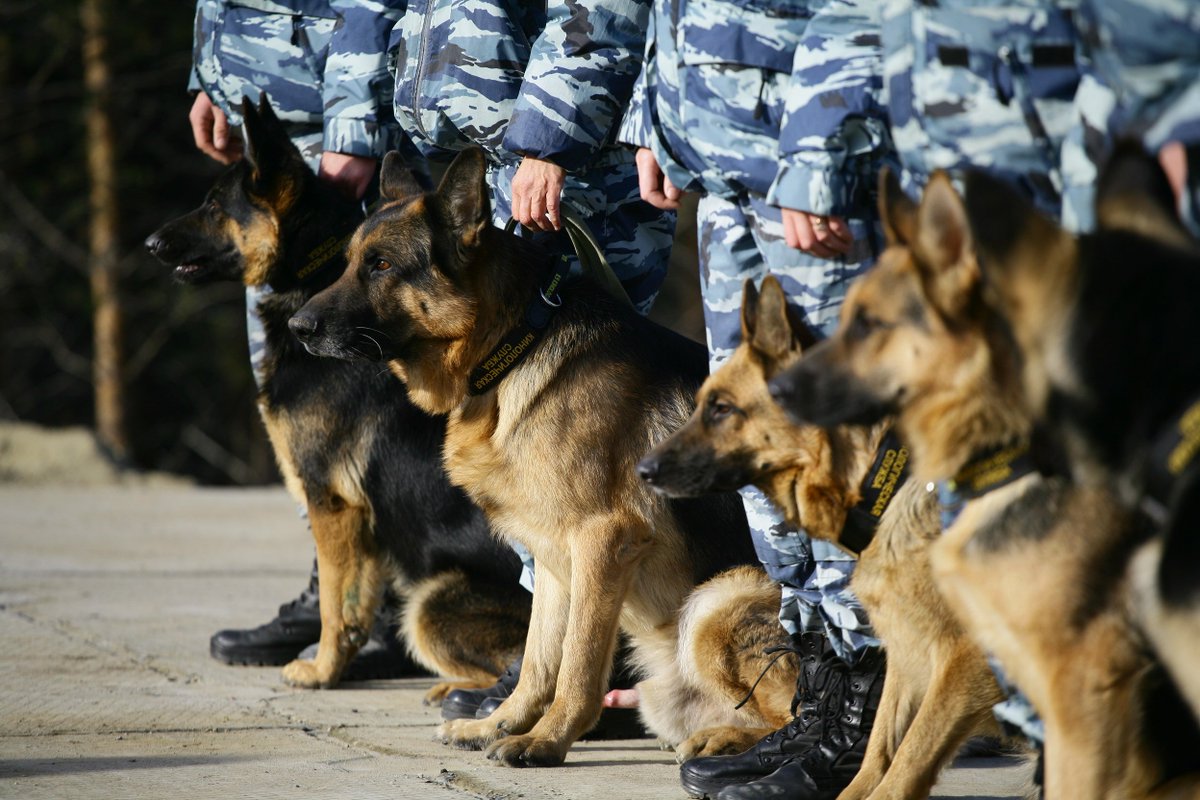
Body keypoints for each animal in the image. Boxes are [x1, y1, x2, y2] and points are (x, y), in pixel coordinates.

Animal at [142, 95, 528, 695]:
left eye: (213, 205)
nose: (150, 244)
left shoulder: (331, 500)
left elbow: (334, 601)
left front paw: (322, 670)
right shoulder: (358, 516)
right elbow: (355, 600)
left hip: (431, 602)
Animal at [290, 146, 753, 767]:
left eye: (382, 265)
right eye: (347, 264)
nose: (296, 327)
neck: (514, 346)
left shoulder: (604, 542)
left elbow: (577, 664)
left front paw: (547, 740)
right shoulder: (555, 555)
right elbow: (539, 659)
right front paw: (501, 724)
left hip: (722, 597)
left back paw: (733, 743)